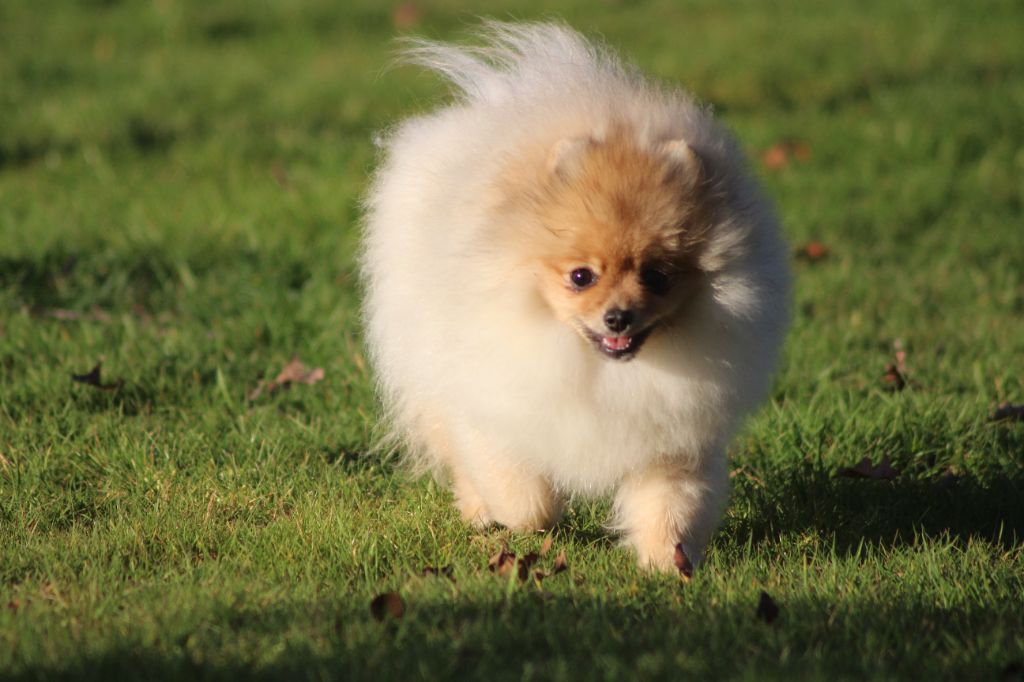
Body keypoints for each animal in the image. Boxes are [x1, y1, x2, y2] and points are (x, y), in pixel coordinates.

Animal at [362, 22, 790, 569]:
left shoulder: (672, 435)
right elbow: (523, 500)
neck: (597, 369)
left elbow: (670, 504)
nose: (618, 317)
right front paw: (527, 519)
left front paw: (667, 562)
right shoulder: (491, 406)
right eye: (582, 276)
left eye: (657, 276)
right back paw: (479, 511)